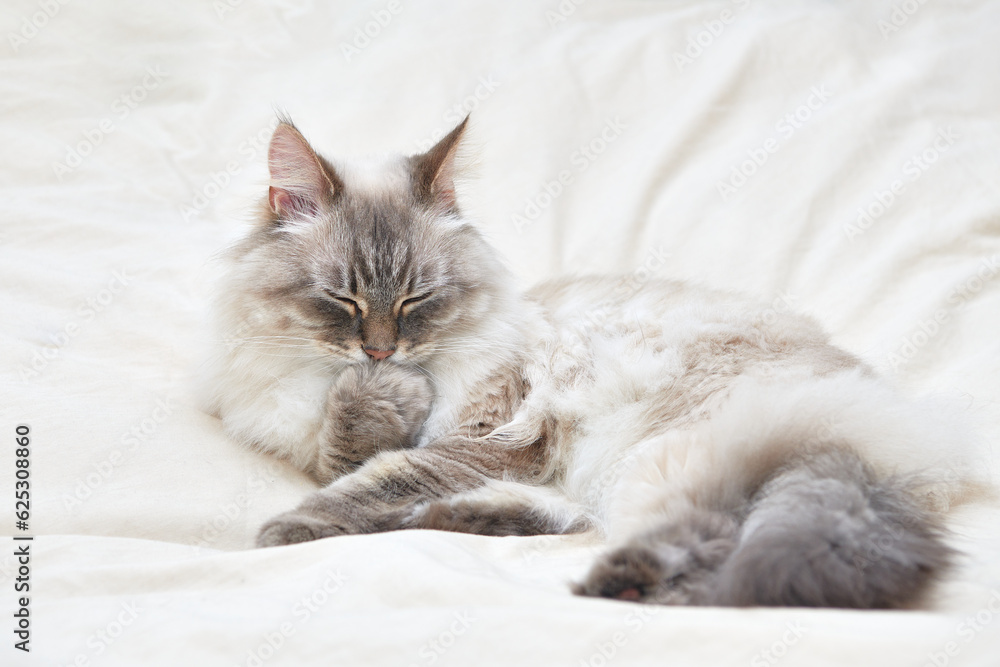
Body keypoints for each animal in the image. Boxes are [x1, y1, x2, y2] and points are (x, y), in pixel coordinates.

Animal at [207, 116, 980, 612]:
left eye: (417, 298)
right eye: (342, 299)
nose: (381, 349)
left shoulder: (492, 434)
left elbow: (377, 476)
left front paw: (286, 529)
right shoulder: (339, 438)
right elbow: (351, 450)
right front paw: (376, 402)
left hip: (663, 454)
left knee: (692, 551)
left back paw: (624, 583)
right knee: (580, 521)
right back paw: (465, 519)